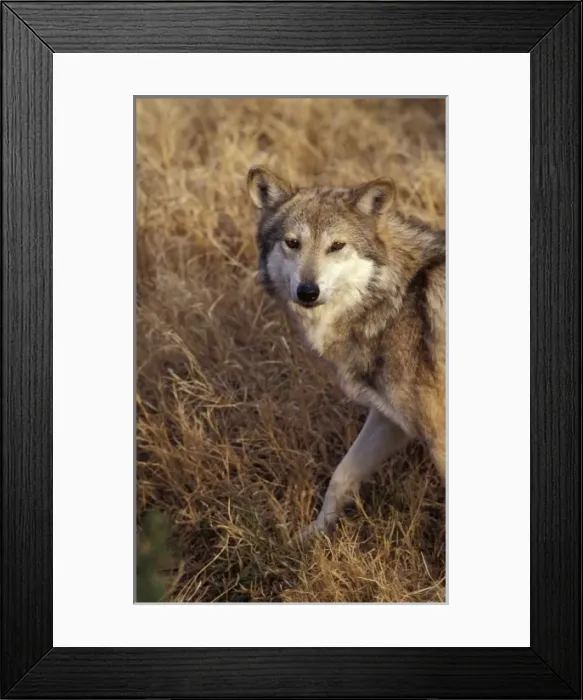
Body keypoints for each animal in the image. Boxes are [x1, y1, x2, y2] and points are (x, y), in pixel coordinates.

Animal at [247, 166, 446, 537]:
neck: (398, 302)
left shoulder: (439, 435)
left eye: (336, 246)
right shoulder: (389, 419)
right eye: (292, 243)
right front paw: (312, 536)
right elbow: (341, 475)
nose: (308, 291)